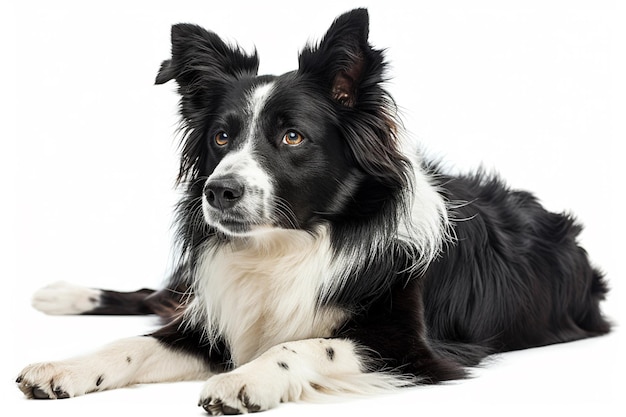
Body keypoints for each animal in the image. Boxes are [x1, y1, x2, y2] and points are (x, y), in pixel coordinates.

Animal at [15, 7, 608, 412]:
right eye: (222, 137)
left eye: (292, 137)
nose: (218, 191)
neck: (289, 244)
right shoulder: (215, 315)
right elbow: (130, 345)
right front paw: (65, 367)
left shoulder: (410, 348)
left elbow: (302, 345)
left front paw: (245, 379)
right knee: (159, 297)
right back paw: (61, 294)